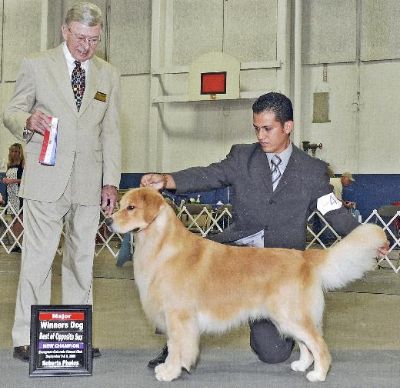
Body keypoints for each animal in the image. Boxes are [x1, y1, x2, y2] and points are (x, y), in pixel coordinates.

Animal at [106, 187, 388, 382]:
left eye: (131, 207)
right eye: (120, 205)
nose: (108, 221)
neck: (161, 245)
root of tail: (304, 257)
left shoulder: (179, 316)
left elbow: (177, 346)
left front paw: (170, 371)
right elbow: (174, 345)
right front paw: (167, 367)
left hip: (291, 314)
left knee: (319, 344)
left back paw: (318, 374)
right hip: (288, 318)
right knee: (306, 344)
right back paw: (301, 365)